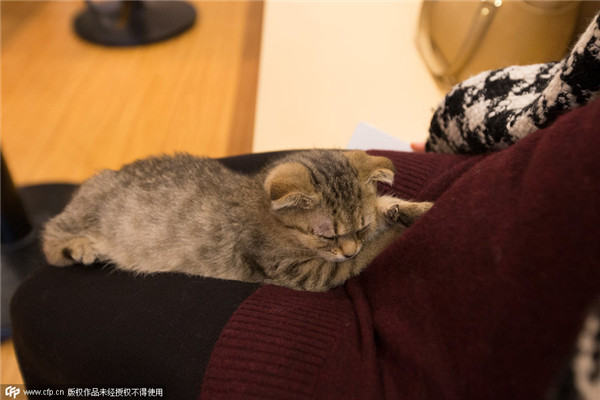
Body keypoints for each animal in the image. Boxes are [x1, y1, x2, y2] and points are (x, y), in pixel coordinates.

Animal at [43, 150, 432, 290]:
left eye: (360, 227)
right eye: (326, 236)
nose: (348, 249)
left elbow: (382, 210)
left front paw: (412, 209)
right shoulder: (307, 273)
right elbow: (365, 258)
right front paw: (398, 233)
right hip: (84, 209)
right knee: (49, 234)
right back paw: (77, 247)